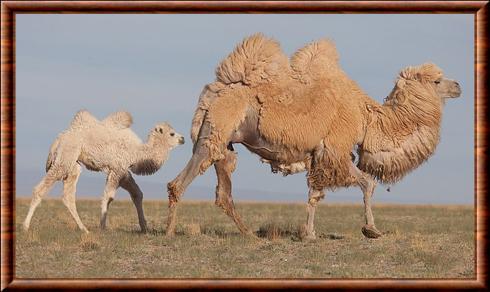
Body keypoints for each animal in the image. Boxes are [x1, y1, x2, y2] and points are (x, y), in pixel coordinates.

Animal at [23, 110, 185, 234]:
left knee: (67, 196)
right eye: (172, 133)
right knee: (40, 189)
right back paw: (25, 226)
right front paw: (102, 226)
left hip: (74, 165)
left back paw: (84, 229)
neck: (137, 152)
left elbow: (137, 194)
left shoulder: (124, 172)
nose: (183, 139)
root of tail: (59, 138)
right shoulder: (117, 169)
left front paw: (144, 227)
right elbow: (109, 196)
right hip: (65, 159)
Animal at [167, 34, 462, 240]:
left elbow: (314, 194)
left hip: (225, 146)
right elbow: (367, 183)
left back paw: (249, 233)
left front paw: (308, 233)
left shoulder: (318, 155)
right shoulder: (335, 150)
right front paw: (371, 229)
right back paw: (170, 233)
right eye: (437, 81)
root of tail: (214, 92)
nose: (458, 85)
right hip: (213, 134)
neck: (366, 119)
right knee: (179, 182)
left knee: (223, 194)